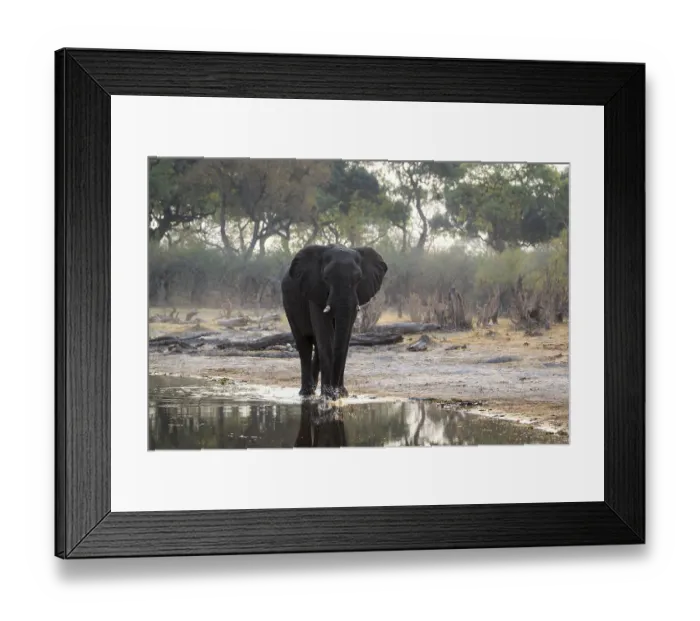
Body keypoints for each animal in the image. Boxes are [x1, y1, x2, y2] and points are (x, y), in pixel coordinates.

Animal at [281, 244, 388, 399]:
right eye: (325, 278)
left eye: (359, 278)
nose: (336, 392)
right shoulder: (315, 290)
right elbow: (326, 337)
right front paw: (328, 396)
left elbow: (343, 339)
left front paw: (342, 395)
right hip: (289, 305)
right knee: (304, 344)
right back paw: (306, 393)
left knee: (317, 346)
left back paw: (314, 389)